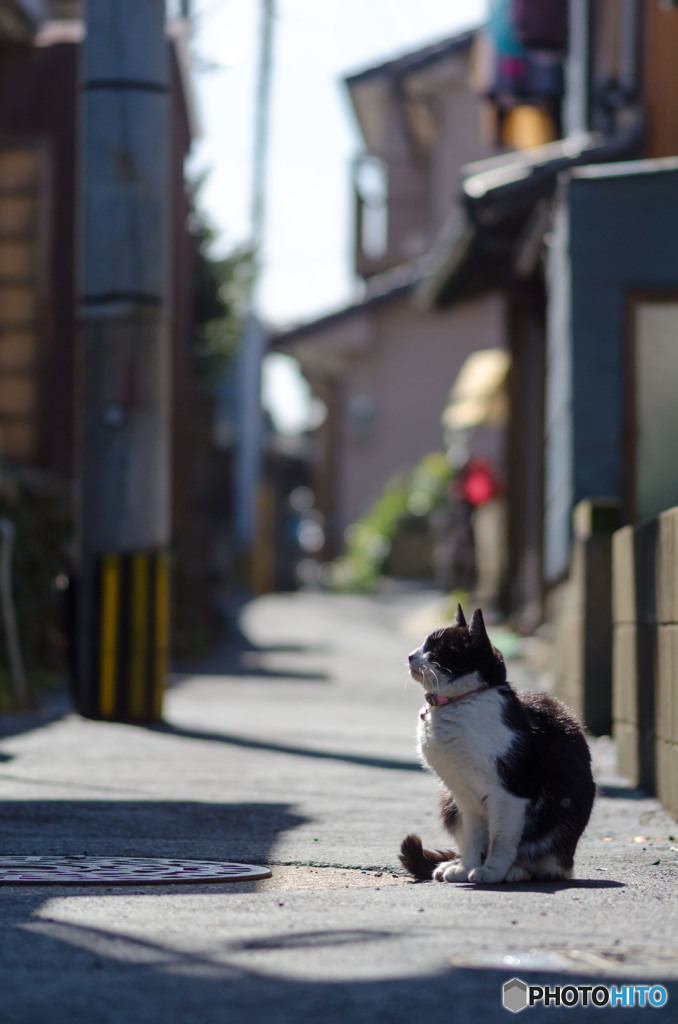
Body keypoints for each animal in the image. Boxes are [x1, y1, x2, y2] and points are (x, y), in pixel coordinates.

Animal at [401, 602, 598, 884]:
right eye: (423, 644)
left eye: (437, 649)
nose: (410, 656)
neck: (457, 704)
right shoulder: (464, 795)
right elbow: (473, 837)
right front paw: (466, 867)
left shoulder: (509, 791)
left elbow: (501, 839)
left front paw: (491, 870)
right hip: (448, 802)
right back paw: (452, 864)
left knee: (547, 862)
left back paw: (516, 871)